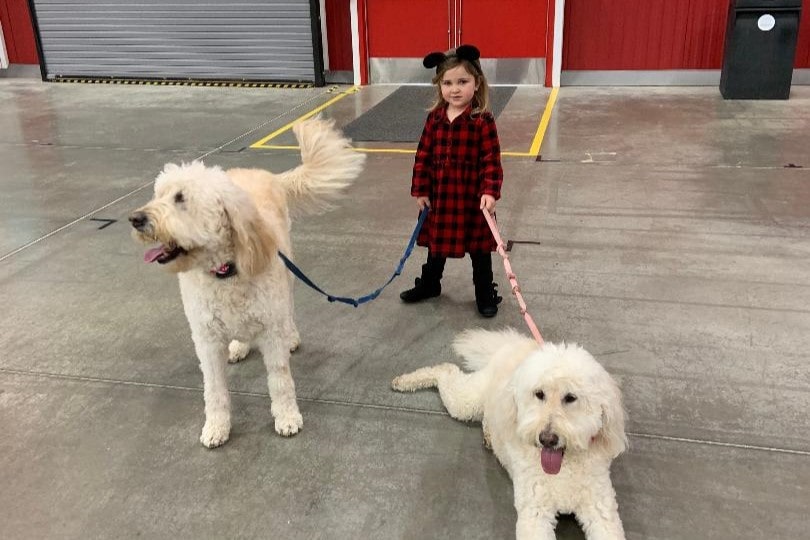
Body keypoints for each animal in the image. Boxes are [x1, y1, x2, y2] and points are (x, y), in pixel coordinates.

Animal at [131, 118, 364, 448]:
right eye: (159, 194)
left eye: (181, 198)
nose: (136, 219)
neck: (225, 272)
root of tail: (266, 175)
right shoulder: (206, 340)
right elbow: (214, 390)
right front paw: (216, 426)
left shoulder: (270, 329)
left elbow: (280, 381)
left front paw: (287, 417)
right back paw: (239, 345)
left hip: (287, 275)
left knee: (289, 309)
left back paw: (291, 336)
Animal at [392, 326, 624, 536]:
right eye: (539, 394)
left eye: (571, 397)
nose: (547, 439)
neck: (562, 468)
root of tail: (512, 344)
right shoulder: (534, 513)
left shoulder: (601, 510)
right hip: (466, 401)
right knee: (446, 370)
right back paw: (405, 380)